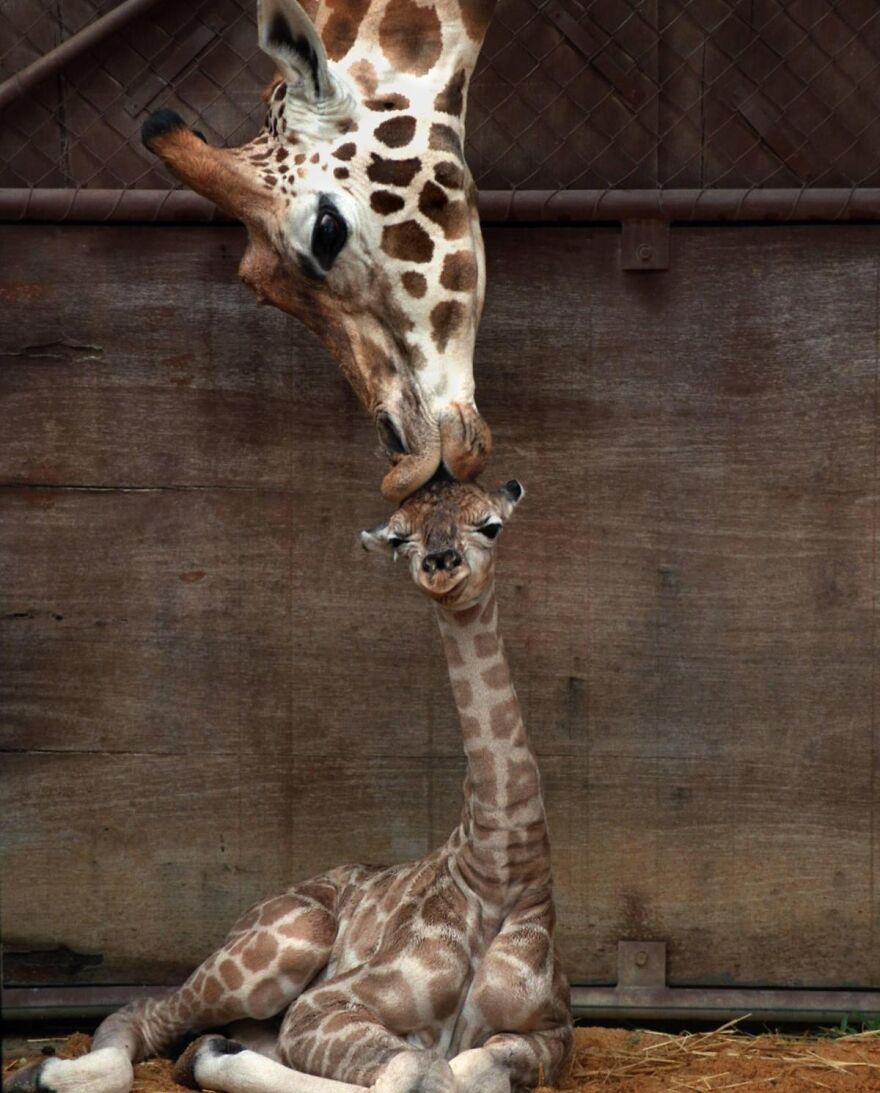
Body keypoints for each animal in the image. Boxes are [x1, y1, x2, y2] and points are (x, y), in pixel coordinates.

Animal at [10, 475, 572, 1093]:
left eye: (490, 525)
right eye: (400, 539)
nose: (439, 565)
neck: (501, 872)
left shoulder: (554, 1034)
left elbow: (472, 1066)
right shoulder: (324, 1004)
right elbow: (419, 1067)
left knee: (202, 1041)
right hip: (291, 939)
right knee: (144, 1014)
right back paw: (43, 1072)